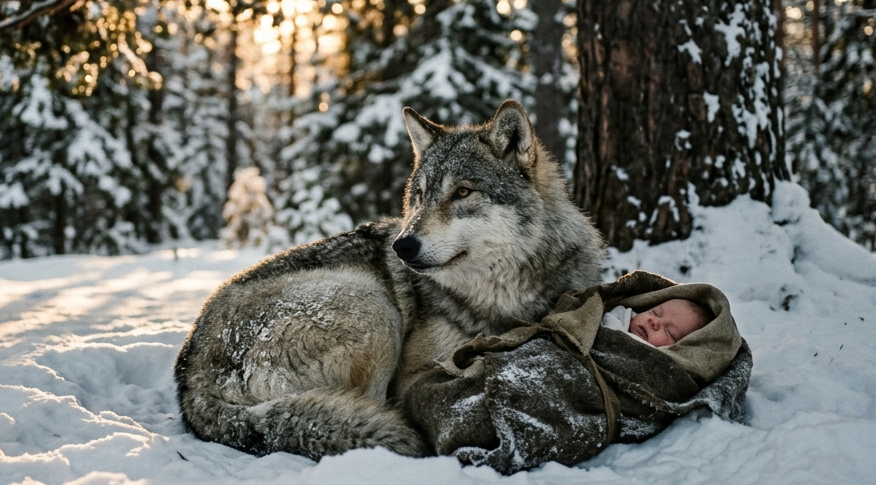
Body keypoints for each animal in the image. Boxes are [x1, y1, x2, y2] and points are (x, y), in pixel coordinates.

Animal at [173, 100, 604, 460]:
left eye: (463, 192)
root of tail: (189, 377)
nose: (402, 246)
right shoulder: (416, 372)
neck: (502, 298)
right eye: (421, 195)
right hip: (374, 307)